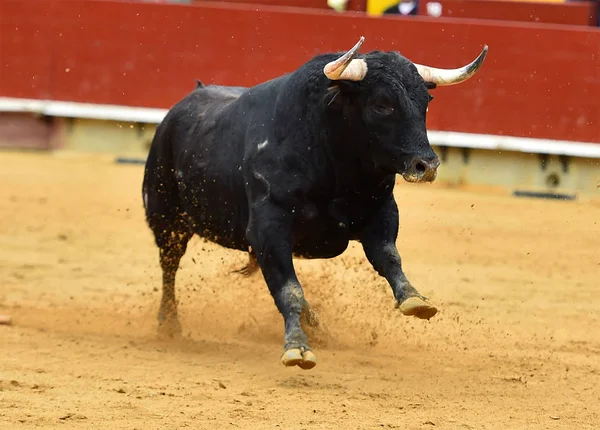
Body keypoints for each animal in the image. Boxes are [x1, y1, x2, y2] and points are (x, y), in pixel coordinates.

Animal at [144, 37, 488, 370]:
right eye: (381, 105)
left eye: (425, 101)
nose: (426, 165)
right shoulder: (269, 230)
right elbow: (289, 289)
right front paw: (296, 347)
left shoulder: (381, 212)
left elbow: (389, 257)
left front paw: (414, 299)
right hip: (167, 220)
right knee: (169, 266)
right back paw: (169, 324)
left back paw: (318, 326)